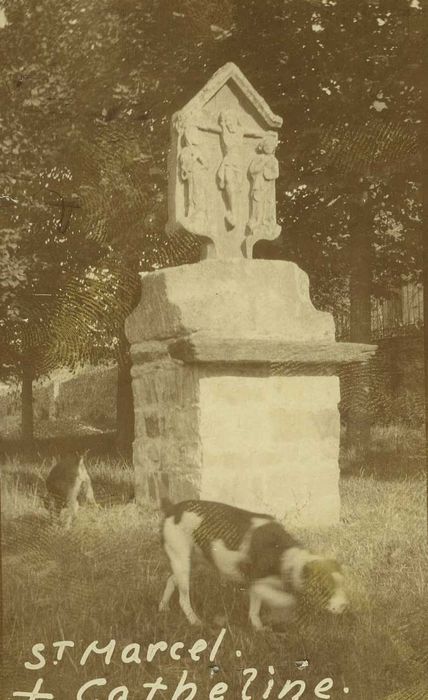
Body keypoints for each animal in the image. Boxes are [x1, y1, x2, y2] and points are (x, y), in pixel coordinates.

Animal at [159, 498, 350, 628]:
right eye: (325, 590)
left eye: (343, 585)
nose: (344, 606)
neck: (283, 554)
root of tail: (172, 508)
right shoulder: (256, 583)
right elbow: (285, 600)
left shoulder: (262, 586)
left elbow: (255, 609)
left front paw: (258, 627)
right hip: (182, 560)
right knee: (183, 598)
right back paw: (194, 620)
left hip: (194, 563)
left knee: (171, 580)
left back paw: (163, 607)